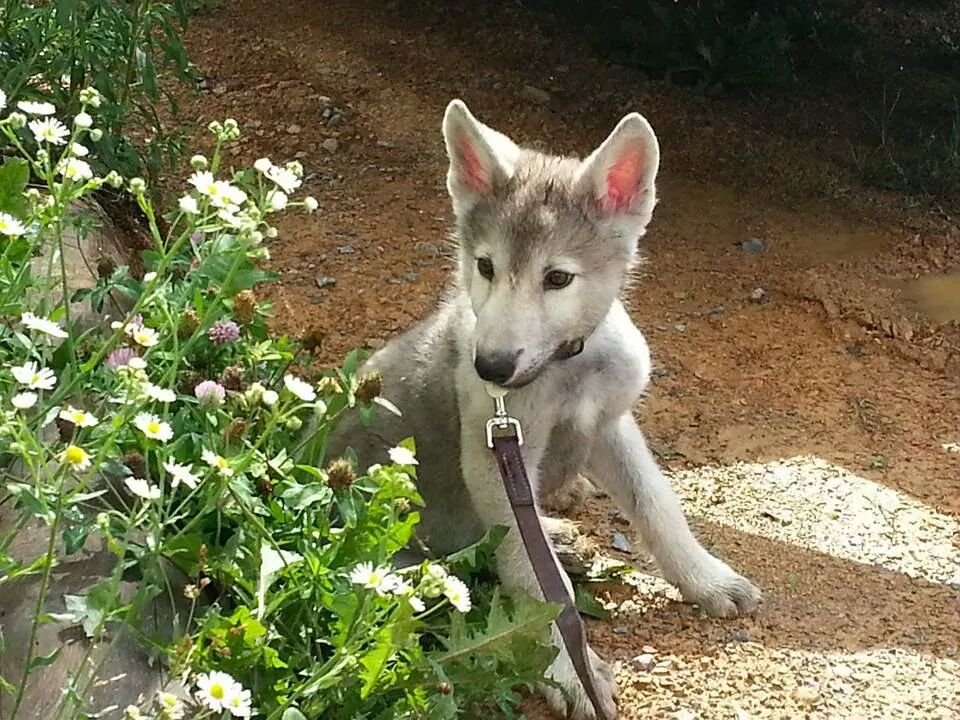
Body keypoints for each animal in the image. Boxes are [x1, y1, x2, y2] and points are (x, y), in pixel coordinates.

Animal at [324, 99, 761, 719]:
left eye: (557, 278)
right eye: (484, 266)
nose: (490, 367)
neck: (567, 367)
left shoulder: (609, 427)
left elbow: (658, 506)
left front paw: (706, 578)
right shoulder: (494, 457)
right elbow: (538, 584)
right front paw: (568, 671)